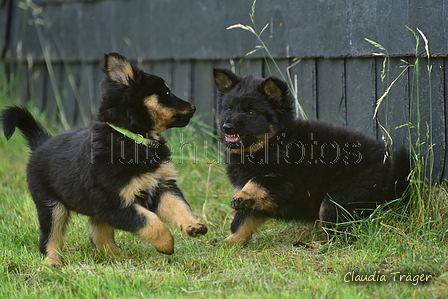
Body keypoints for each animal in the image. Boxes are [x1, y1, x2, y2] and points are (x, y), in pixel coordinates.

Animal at [0, 52, 207, 266]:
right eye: (166, 92)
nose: (194, 107)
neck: (133, 138)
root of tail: (42, 141)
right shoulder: (113, 203)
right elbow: (150, 222)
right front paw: (167, 244)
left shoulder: (161, 186)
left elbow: (179, 206)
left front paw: (193, 225)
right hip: (51, 204)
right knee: (50, 237)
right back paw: (54, 262)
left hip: (91, 204)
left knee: (99, 237)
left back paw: (119, 257)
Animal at [214, 68, 410, 246]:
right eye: (229, 109)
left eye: (250, 112)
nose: (226, 127)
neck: (273, 144)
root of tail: (389, 169)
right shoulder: (259, 201)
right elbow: (241, 222)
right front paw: (229, 243)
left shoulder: (285, 183)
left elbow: (256, 180)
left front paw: (242, 196)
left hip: (339, 198)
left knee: (339, 234)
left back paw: (314, 246)